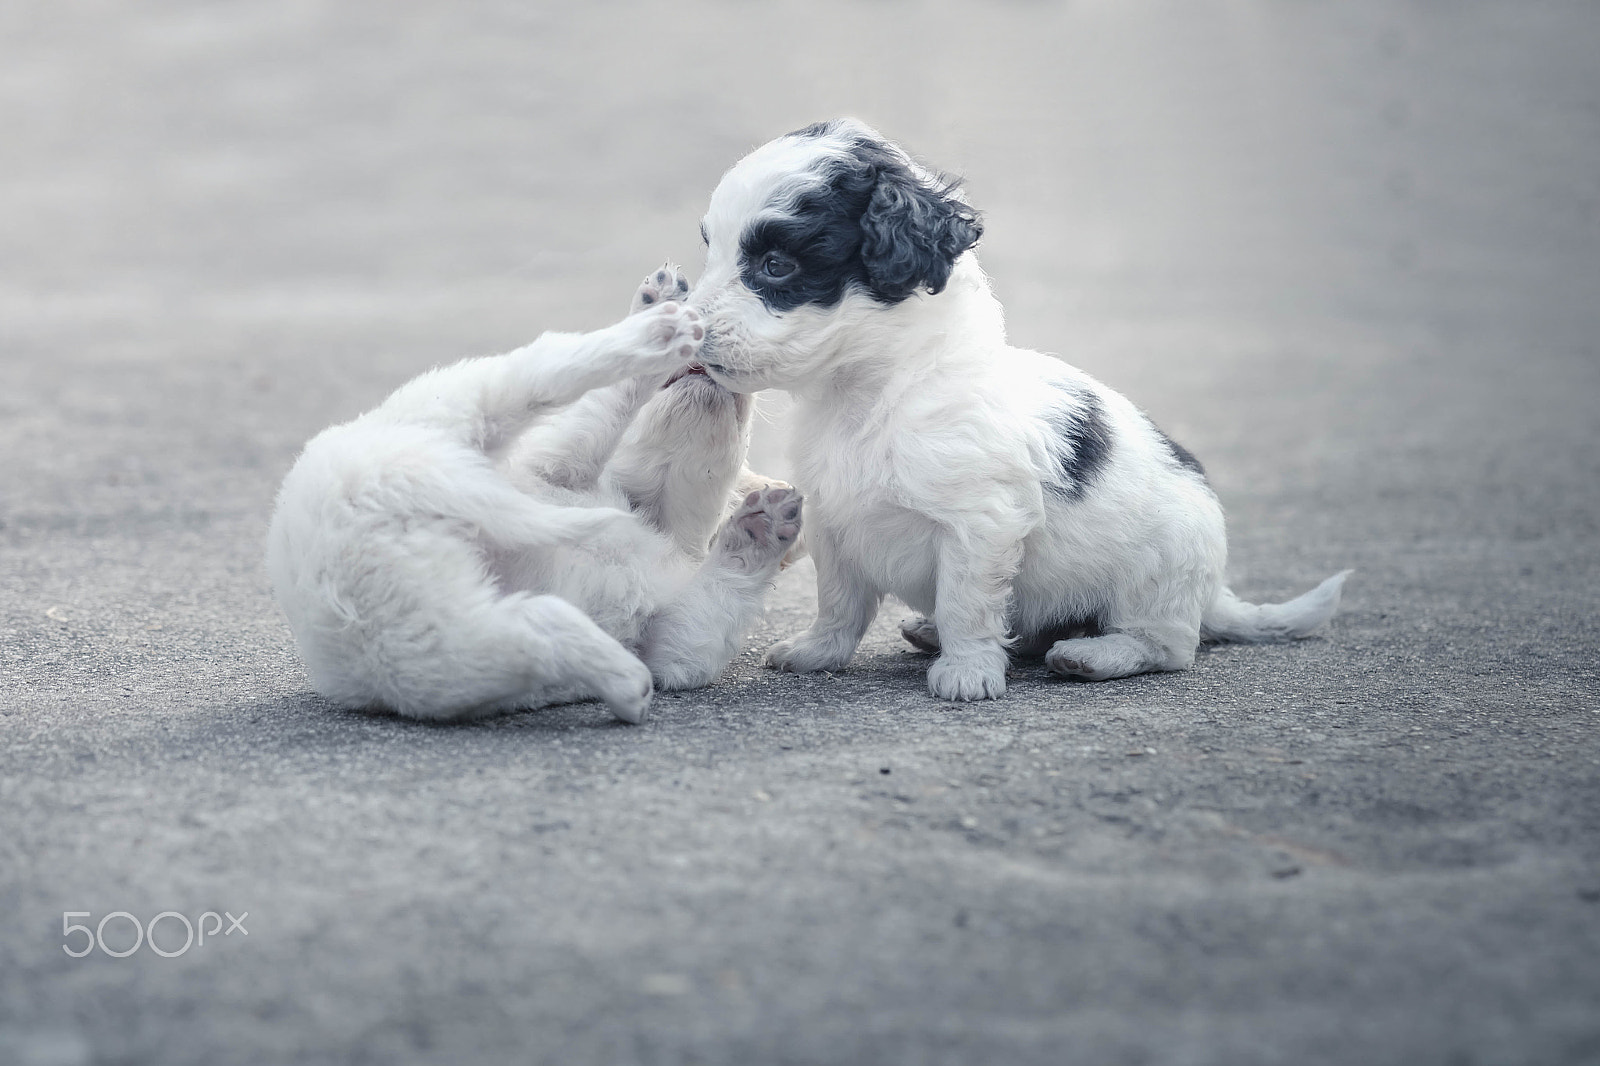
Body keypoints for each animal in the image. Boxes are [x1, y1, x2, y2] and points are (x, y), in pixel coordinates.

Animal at [268, 264, 806, 723]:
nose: (729, 382)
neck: (645, 507)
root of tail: (379, 484)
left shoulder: (668, 642)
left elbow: (712, 607)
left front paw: (761, 527)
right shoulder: (558, 461)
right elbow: (602, 413)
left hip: (440, 644)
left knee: (539, 623)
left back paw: (624, 681)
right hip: (469, 402)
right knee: (549, 373)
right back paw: (654, 323)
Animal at [688, 120, 1350, 697]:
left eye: (777, 267)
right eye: (711, 254)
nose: (689, 331)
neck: (872, 394)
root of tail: (1212, 595)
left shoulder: (979, 523)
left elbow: (966, 602)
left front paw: (968, 671)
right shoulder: (837, 520)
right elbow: (840, 602)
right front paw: (818, 652)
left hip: (1162, 570)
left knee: (1166, 646)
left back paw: (1095, 654)